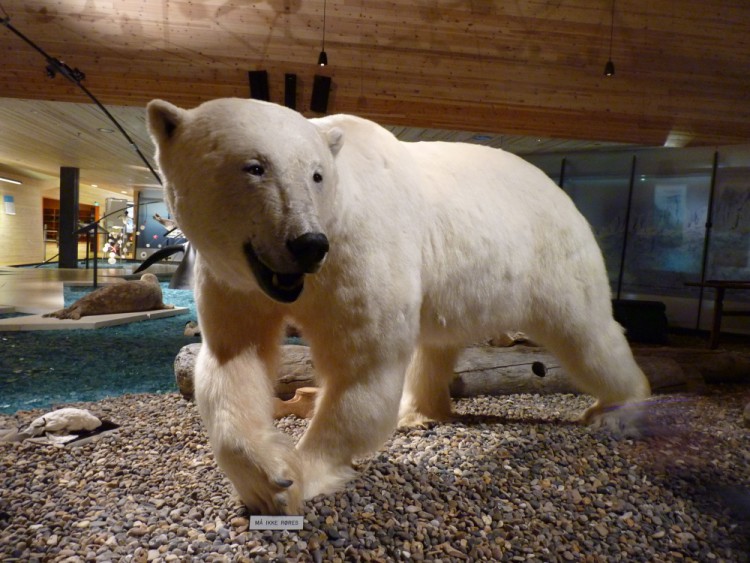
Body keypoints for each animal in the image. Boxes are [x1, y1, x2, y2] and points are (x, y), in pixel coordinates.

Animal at [148, 98, 652, 516]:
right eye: (255, 167)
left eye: (316, 175)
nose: (307, 244)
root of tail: (561, 191)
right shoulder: (236, 281)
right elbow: (234, 358)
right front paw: (266, 477)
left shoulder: (360, 253)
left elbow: (363, 369)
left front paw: (304, 472)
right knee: (438, 344)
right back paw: (419, 411)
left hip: (551, 257)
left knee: (585, 333)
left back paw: (619, 408)